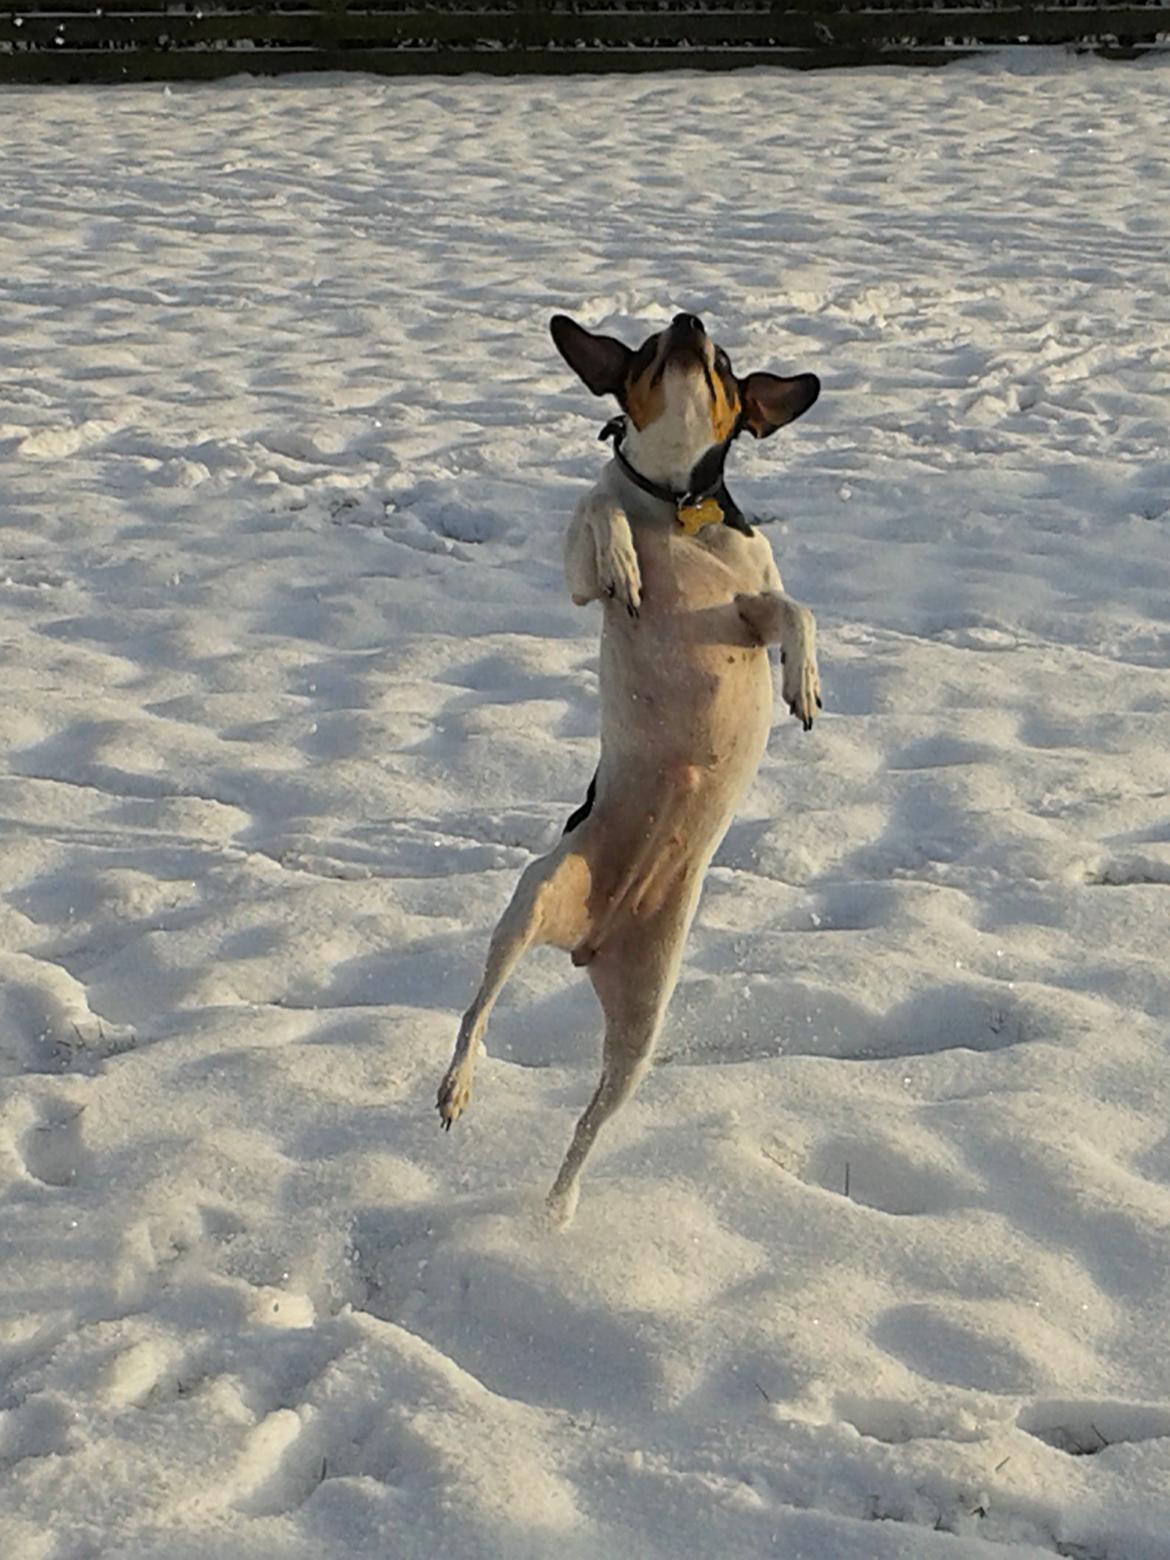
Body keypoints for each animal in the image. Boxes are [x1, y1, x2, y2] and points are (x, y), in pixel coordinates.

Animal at [439, 310, 823, 1223]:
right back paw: (457, 1086)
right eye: (649, 349)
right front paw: (624, 559)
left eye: (721, 361)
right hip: (533, 898)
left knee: (588, 1124)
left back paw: (558, 1209)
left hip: (644, 1022)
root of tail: (589, 941)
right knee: (478, 1010)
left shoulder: (751, 609)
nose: (689, 320)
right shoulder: (582, 577)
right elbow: (597, 507)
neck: (678, 503)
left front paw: (804, 679)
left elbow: (796, 609)